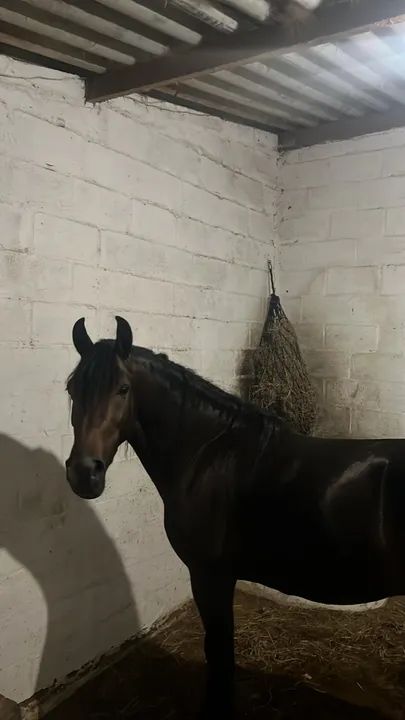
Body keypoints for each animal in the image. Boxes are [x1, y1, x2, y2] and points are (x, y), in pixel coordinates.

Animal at [65, 316, 405, 718]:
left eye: (123, 388)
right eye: (72, 389)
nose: (84, 474)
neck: (207, 455)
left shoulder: (210, 575)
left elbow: (220, 653)